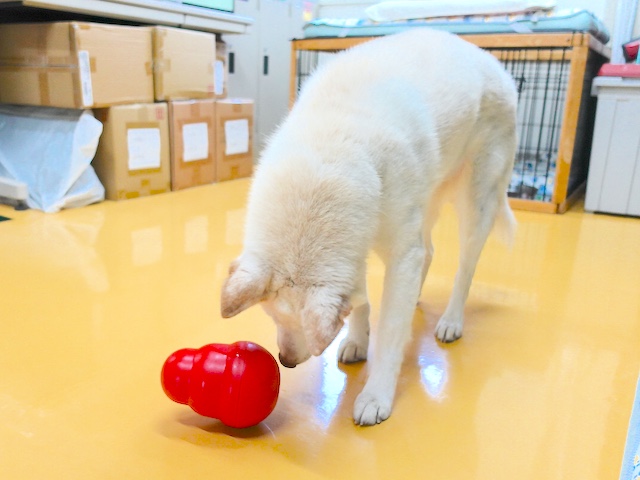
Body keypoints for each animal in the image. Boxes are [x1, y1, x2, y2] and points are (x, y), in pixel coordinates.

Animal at [222, 29, 516, 424]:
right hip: (424, 203)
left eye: (297, 327)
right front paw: (357, 339)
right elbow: (360, 299)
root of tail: (492, 61)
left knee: (464, 269)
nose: (286, 360)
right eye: (272, 316)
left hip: (476, 204)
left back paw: (451, 321)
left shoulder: (398, 251)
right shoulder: (357, 242)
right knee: (428, 252)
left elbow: (390, 331)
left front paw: (377, 395)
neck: (330, 145)